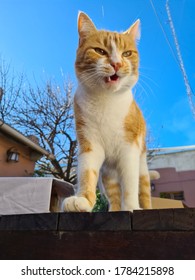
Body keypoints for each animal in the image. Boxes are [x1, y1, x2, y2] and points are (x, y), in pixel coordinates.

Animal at [62, 12, 157, 211]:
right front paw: (83, 199)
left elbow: (130, 183)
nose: (117, 63)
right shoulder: (90, 143)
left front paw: (132, 207)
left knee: (143, 188)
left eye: (127, 53)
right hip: (108, 175)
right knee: (113, 195)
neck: (106, 101)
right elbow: (87, 172)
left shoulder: (129, 149)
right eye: (100, 51)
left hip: (142, 165)